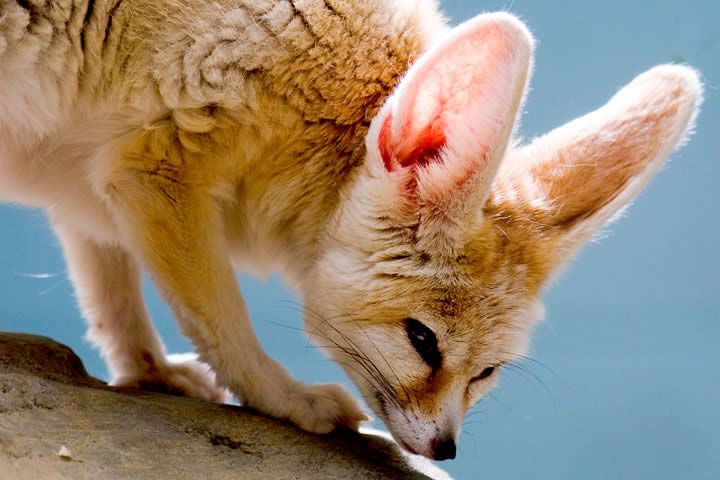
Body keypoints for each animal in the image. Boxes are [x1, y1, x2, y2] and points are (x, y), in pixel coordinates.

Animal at [0, 0, 700, 460]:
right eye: (422, 340)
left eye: (487, 373)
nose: (446, 450)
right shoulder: (156, 168)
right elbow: (220, 320)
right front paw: (284, 396)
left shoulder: (94, 177)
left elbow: (110, 288)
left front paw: (146, 370)